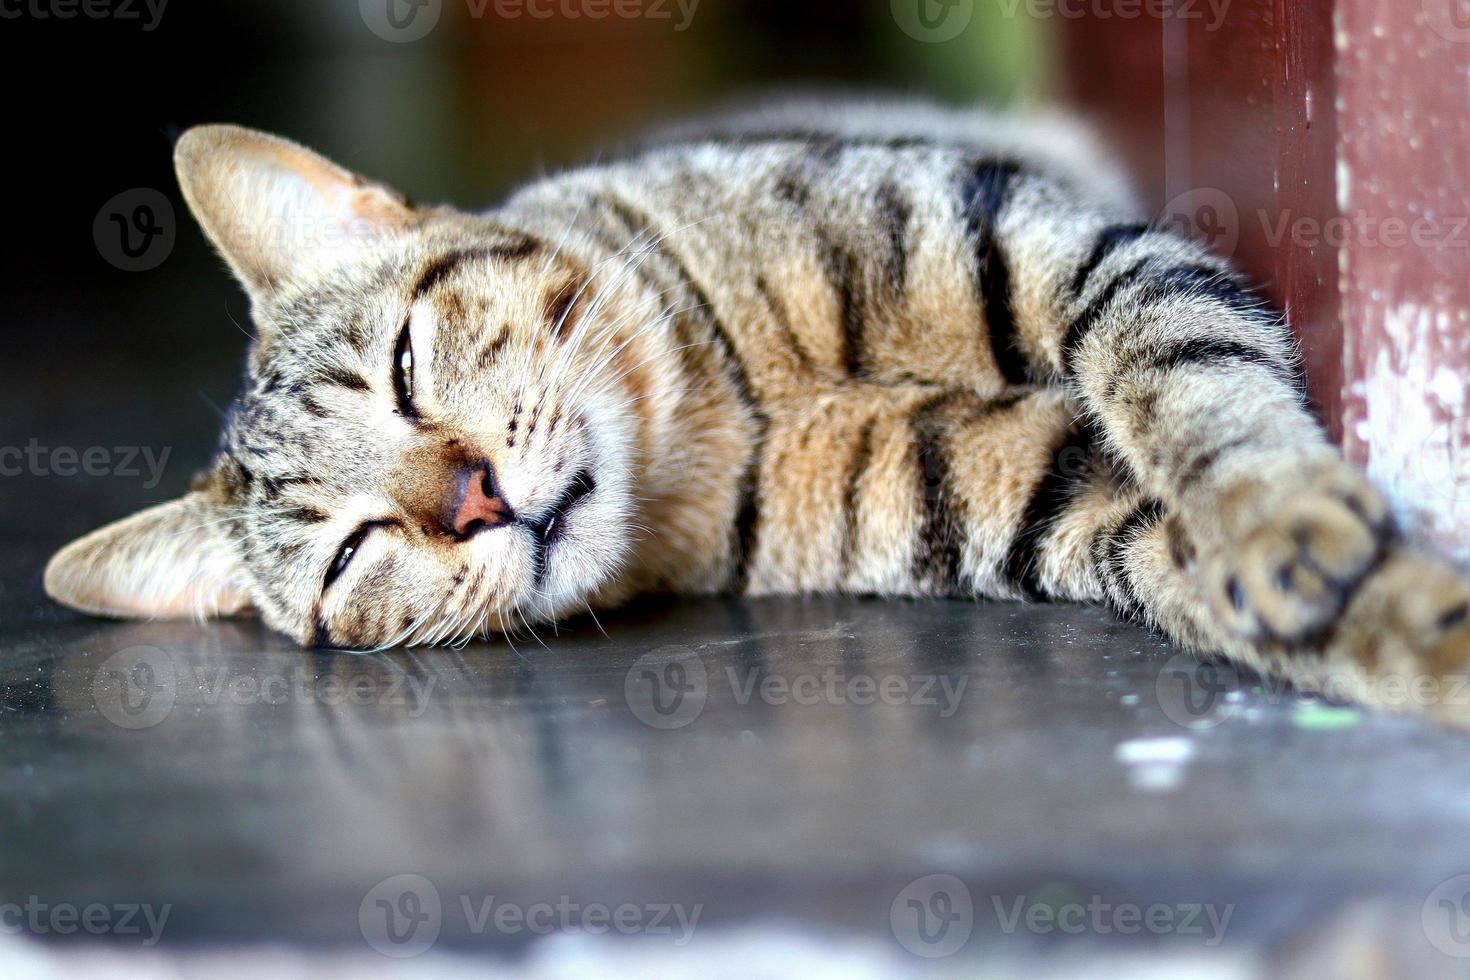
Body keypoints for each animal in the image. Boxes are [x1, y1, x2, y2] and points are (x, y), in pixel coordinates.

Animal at [40, 101, 1470, 719]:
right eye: (348, 555)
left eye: (403, 364)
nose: (474, 498)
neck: (726, 407)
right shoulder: (1045, 488)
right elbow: (1183, 542)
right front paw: (1405, 623)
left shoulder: (1056, 244)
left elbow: (1193, 386)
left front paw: (1278, 514)